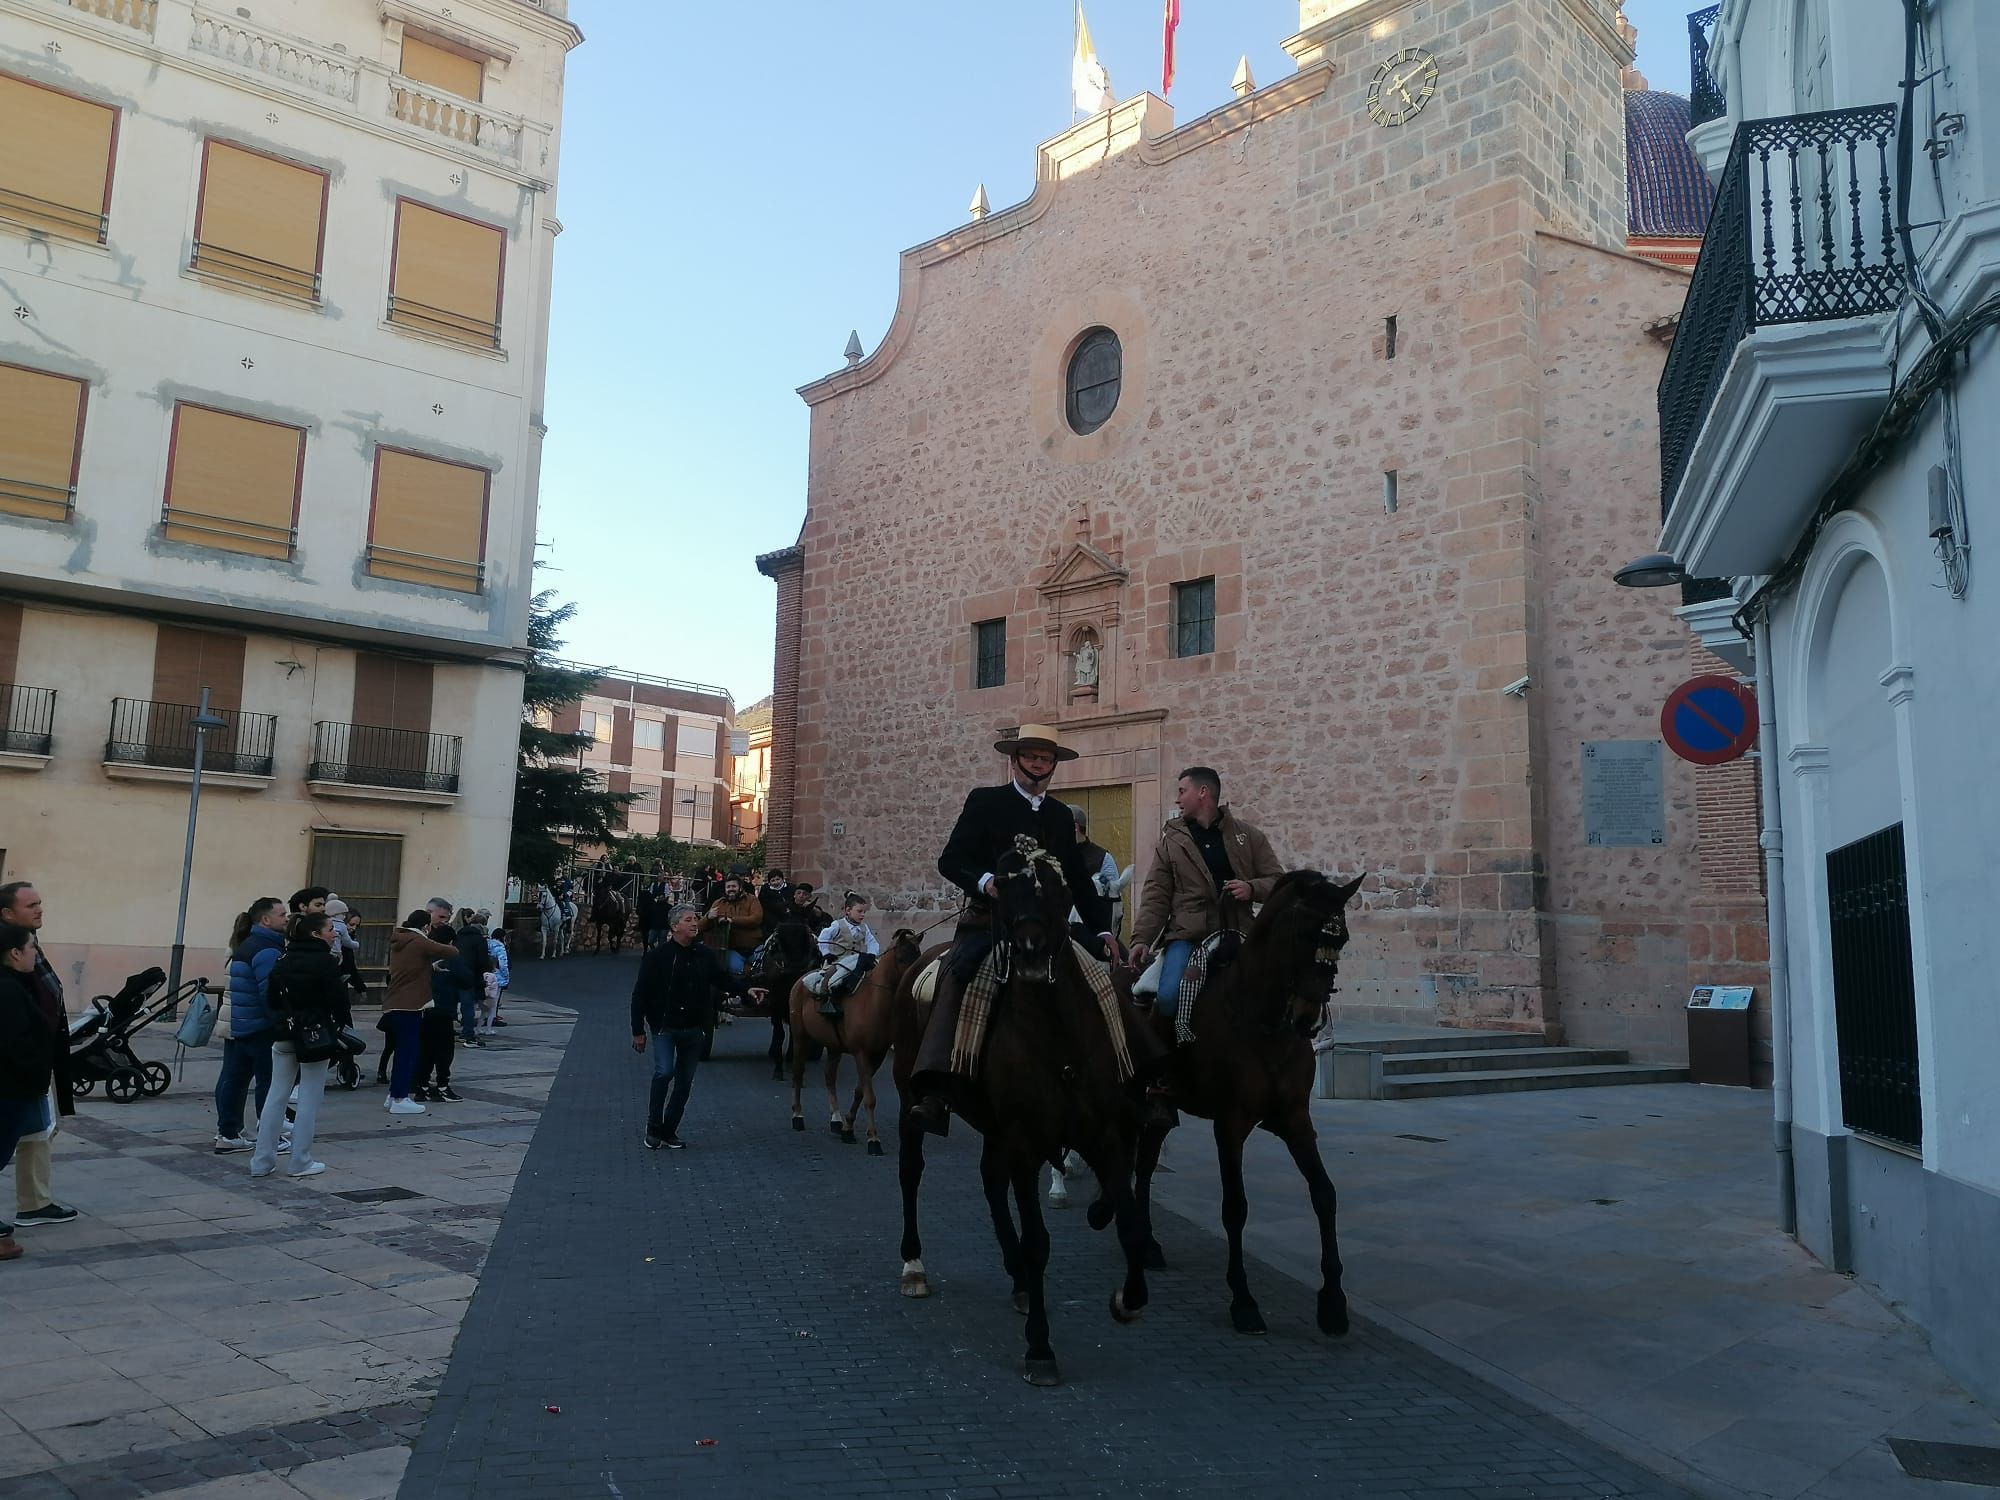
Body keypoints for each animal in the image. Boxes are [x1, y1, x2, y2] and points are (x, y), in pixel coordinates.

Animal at [792, 936, 924, 1160]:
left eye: (919, 954)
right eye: (900, 957)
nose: (913, 979)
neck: (873, 1000)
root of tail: (801, 980)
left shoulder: (877, 1055)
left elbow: (860, 1092)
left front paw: (848, 1128)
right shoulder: (861, 1053)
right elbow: (869, 1097)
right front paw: (873, 1140)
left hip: (834, 1046)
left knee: (829, 1076)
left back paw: (836, 1120)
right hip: (800, 1037)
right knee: (798, 1073)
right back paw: (797, 1115)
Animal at [896, 848, 1160, 1384]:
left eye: (1061, 891)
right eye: (1005, 889)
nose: (1033, 955)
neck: (1056, 1031)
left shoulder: (1106, 1132)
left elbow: (1124, 1217)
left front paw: (1129, 1296)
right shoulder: (1026, 1141)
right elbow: (1039, 1241)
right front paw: (1040, 1347)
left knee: (990, 1181)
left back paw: (1016, 1277)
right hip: (913, 1095)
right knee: (912, 1169)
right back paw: (914, 1265)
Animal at [1136, 868, 1368, 1336]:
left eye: (1342, 937)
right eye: (1301, 934)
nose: (1309, 1018)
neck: (1261, 1019)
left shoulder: (1297, 1119)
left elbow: (1324, 1194)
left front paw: (1333, 1302)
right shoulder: (1229, 1124)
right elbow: (1235, 1207)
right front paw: (1242, 1299)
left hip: (1159, 1111)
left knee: (1148, 1163)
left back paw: (1148, 1244)